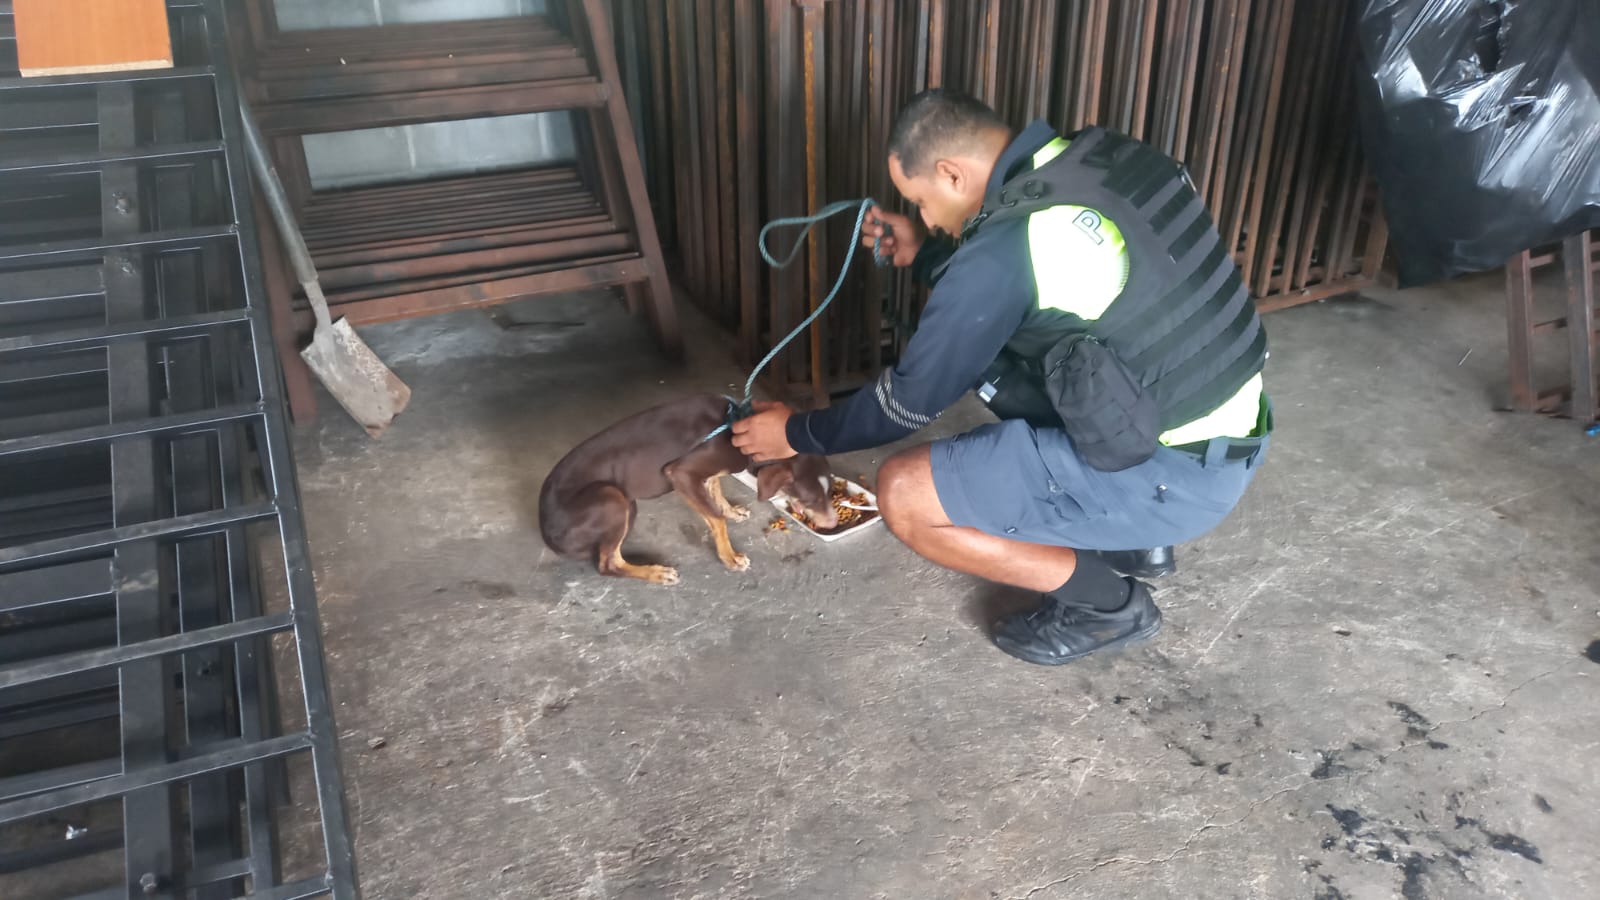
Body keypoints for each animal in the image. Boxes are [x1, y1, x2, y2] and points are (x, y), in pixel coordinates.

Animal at [538, 393, 838, 584]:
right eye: (811, 498)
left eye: (831, 491)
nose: (833, 523)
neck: (736, 424)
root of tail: (545, 530)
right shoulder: (680, 473)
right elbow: (715, 519)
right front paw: (730, 557)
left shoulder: (706, 473)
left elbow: (716, 492)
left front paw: (731, 511)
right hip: (613, 498)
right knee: (608, 563)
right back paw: (656, 573)